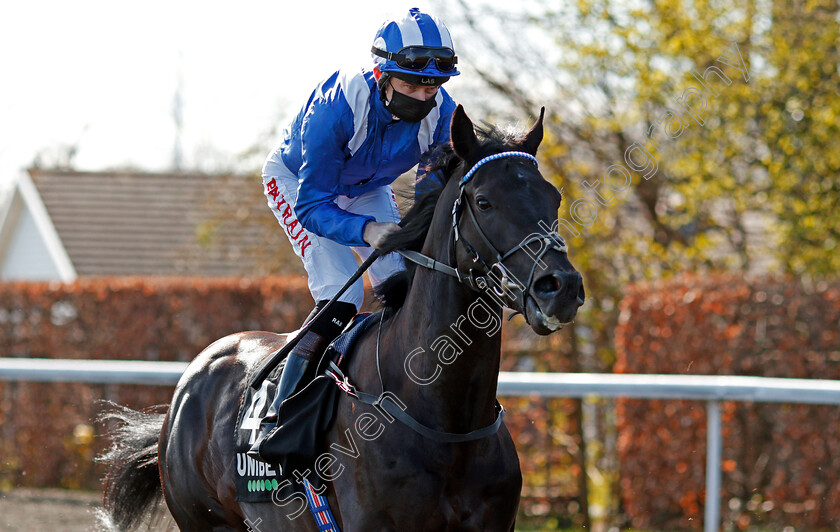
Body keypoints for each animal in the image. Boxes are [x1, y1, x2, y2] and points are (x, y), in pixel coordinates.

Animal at [98, 106, 584, 528]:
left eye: (554, 197)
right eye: (484, 202)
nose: (560, 287)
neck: (446, 420)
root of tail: (192, 378)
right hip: (204, 521)